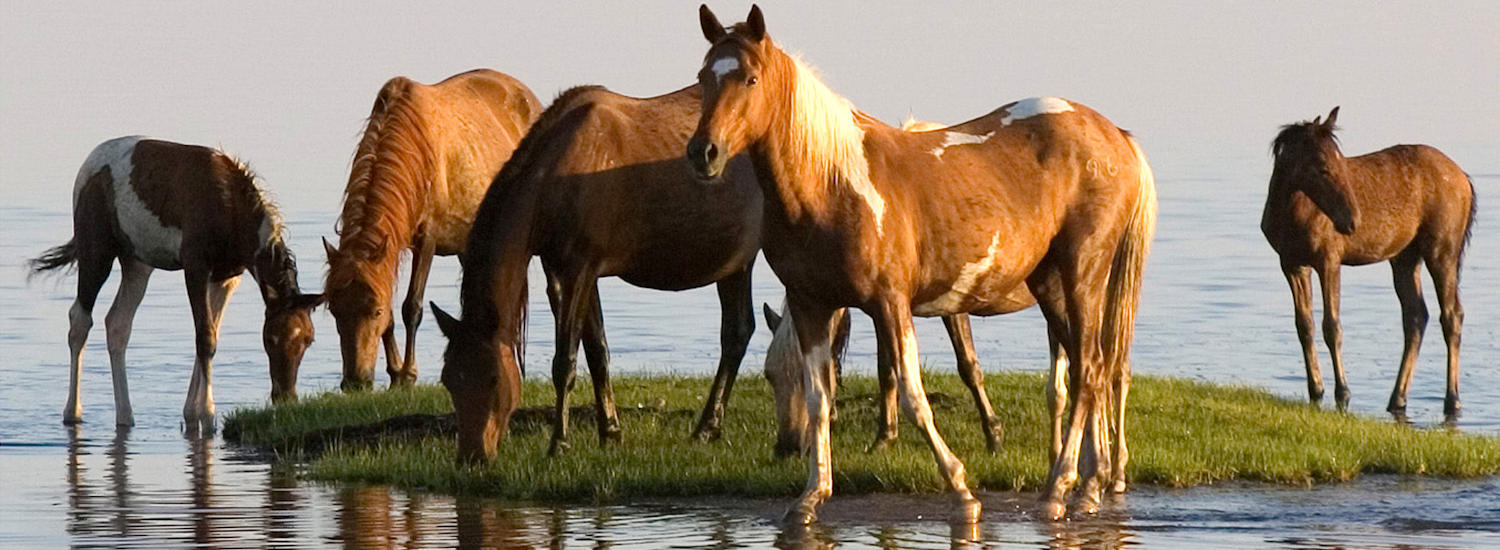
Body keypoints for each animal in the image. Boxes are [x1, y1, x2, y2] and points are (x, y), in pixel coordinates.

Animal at [28, 137, 325, 425]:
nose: (285, 396)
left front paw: (191, 411)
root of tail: (87, 168)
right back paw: (73, 412)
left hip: (137, 264)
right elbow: (205, 337)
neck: (228, 205)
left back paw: (126, 416)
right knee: (80, 320)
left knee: (118, 324)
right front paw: (207, 414)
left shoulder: (227, 277)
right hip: (97, 253)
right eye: (271, 338)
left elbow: (211, 333)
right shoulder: (195, 267)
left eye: (308, 340)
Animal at [319, 70, 543, 392]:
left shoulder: (427, 242)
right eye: (335, 310)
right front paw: (394, 372)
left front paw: (408, 374)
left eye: (373, 311)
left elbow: (411, 307)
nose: (355, 382)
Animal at [687, 6, 1152, 524]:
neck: (831, 186)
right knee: (1091, 370)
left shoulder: (892, 303)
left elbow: (913, 398)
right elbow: (820, 398)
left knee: (1091, 371)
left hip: (1084, 273)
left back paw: (1059, 489)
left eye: (750, 78)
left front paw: (962, 492)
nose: (703, 153)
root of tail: (1116, 136)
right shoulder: (812, 305)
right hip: (1050, 284)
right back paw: (1089, 483)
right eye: (703, 77)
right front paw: (811, 496)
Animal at [1260, 106, 1470, 416]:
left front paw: (1343, 394)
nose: (1352, 221)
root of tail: (1465, 180)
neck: (1288, 214)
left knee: (1452, 315)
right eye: (1322, 166)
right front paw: (1315, 390)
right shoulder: (1291, 263)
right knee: (1416, 316)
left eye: (1342, 161)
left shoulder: (1329, 259)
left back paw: (1452, 400)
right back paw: (1398, 398)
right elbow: (1304, 325)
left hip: (1443, 250)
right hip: (1405, 257)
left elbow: (1332, 326)